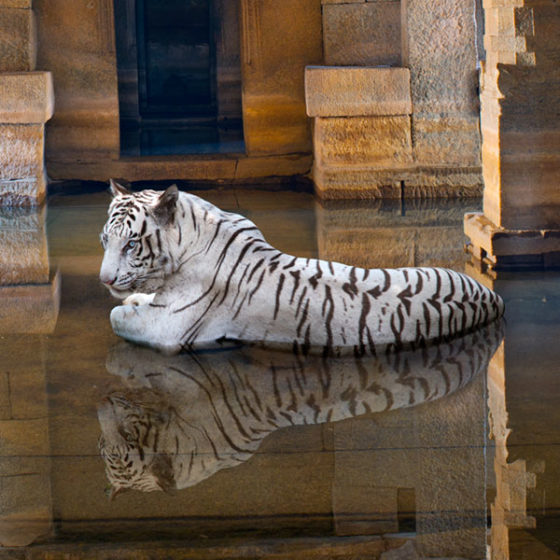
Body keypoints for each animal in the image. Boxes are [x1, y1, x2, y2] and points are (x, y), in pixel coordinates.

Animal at [98, 180, 506, 354]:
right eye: (105, 240)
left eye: (131, 243)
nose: (104, 279)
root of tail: (495, 299)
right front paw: (136, 296)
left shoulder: (167, 329)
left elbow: (117, 316)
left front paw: (126, 303)